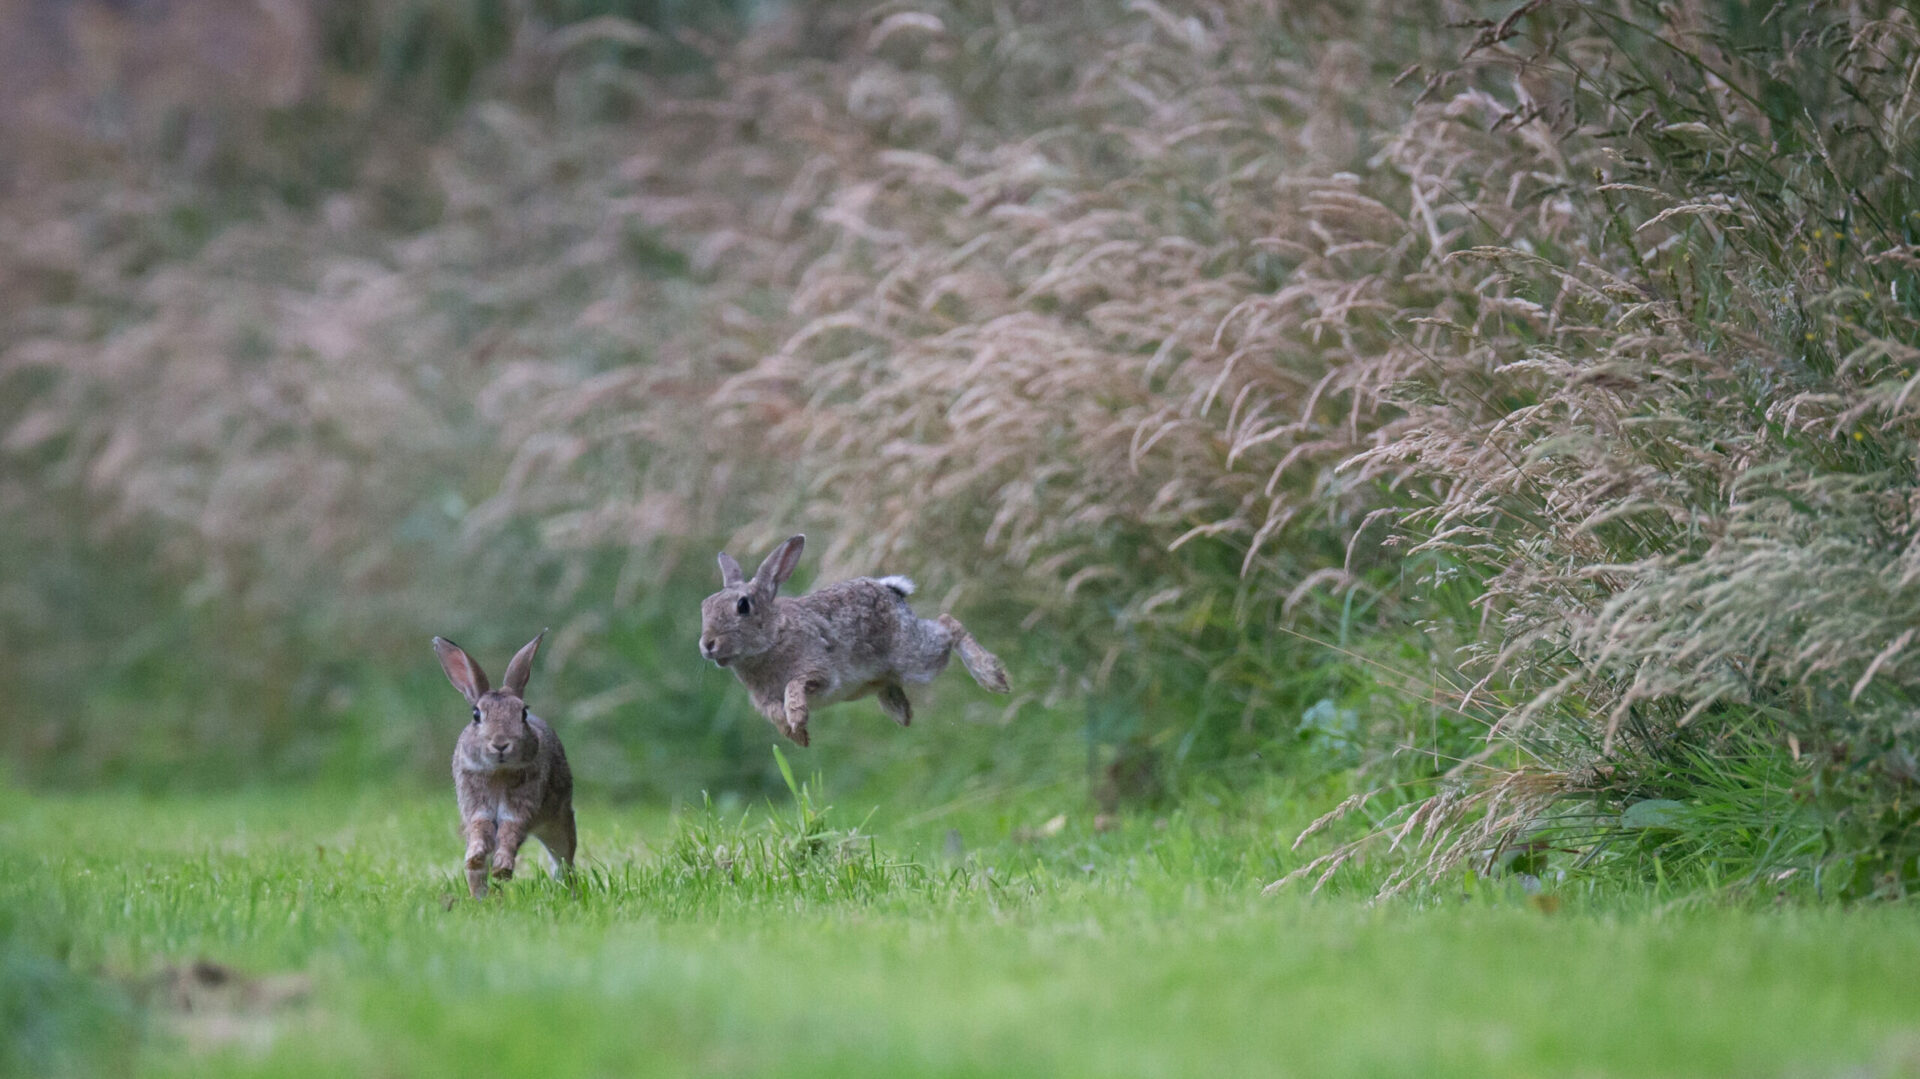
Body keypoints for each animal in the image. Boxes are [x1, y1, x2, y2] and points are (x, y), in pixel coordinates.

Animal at [435, 629, 576, 898]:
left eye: (523, 713)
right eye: (476, 714)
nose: (500, 744)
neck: (498, 772)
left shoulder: (520, 808)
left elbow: (511, 831)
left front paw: (503, 869)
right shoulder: (476, 806)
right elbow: (479, 829)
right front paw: (477, 858)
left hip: (559, 822)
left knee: (563, 859)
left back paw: (567, 890)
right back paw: (480, 895)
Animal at [698, 533, 1013, 744]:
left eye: (743, 606)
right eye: (704, 606)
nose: (707, 645)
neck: (773, 636)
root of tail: (891, 590)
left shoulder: (818, 672)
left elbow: (794, 686)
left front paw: (798, 718)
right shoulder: (764, 700)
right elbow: (776, 712)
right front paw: (797, 736)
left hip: (915, 658)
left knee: (949, 625)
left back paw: (992, 677)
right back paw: (901, 711)